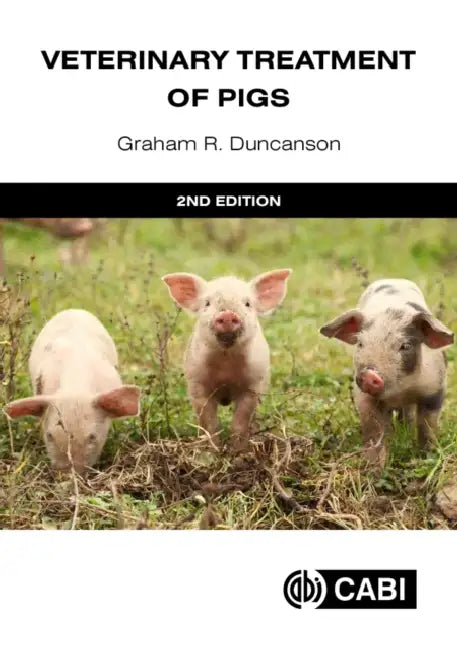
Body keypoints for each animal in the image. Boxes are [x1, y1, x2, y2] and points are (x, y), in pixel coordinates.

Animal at [162, 269, 292, 452]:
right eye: (207, 303)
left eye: (247, 303)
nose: (228, 314)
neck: (226, 363)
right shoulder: (197, 384)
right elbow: (209, 424)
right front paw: (213, 452)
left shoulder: (253, 386)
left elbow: (240, 422)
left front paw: (238, 452)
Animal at [319, 279, 454, 467]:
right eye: (360, 343)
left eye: (405, 346)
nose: (369, 374)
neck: (400, 391)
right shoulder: (363, 397)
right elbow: (374, 430)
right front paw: (373, 468)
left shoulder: (435, 388)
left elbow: (427, 426)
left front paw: (427, 457)